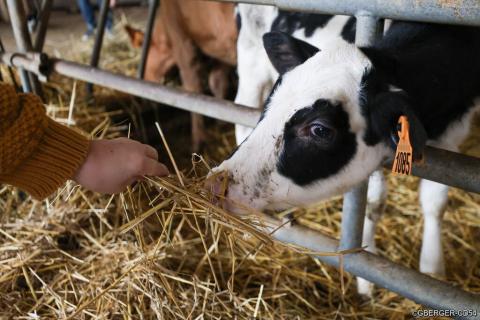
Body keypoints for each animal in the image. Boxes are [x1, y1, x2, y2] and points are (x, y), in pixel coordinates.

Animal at [124, 0, 235, 152]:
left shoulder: (182, 42)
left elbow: (194, 92)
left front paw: (198, 142)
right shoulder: (221, 51)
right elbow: (218, 82)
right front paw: (221, 123)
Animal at [216, 18, 480, 296]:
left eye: (320, 130)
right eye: (272, 102)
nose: (216, 184)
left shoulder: (452, 139)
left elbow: (435, 201)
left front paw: (432, 268)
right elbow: (372, 203)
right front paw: (366, 276)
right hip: (249, 63)